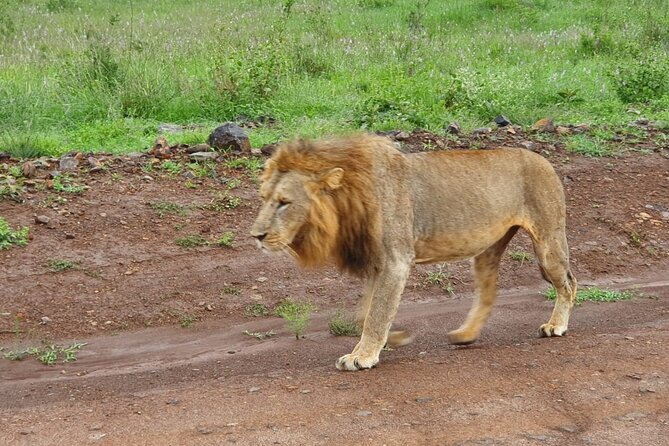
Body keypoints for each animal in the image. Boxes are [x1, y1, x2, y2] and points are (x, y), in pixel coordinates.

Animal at [249, 134, 576, 372]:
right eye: (263, 198)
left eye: (284, 202)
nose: (256, 236)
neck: (346, 202)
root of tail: (543, 159)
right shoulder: (377, 264)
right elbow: (365, 313)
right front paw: (395, 339)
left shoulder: (396, 260)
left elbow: (376, 313)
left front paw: (362, 357)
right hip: (488, 249)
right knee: (488, 291)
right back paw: (466, 334)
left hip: (547, 241)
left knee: (568, 283)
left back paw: (556, 326)